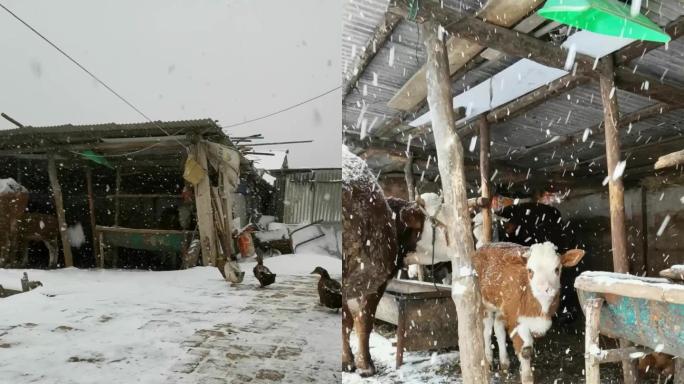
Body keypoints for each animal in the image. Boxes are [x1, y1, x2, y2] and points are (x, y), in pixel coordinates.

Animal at [472, 242, 584, 382]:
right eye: (530, 271)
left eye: (557, 269)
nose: (544, 289)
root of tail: (486, 246)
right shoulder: (517, 319)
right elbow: (525, 350)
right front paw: (527, 378)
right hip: (484, 303)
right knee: (486, 329)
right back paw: (488, 361)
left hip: (502, 307)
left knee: (498, 328)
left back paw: (504, 364)